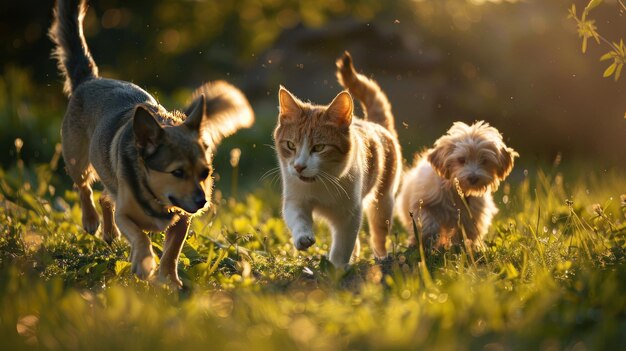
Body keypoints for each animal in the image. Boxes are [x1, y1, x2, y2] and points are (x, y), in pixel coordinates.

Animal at [49, 0, 254, 288]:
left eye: (205, 173)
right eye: (177, 172)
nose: (202, 202)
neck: (157, 197)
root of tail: (90, 79)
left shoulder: (182, 221)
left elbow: (172, 251)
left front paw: (169, 279)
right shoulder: (126, 215)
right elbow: (141, 236)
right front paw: (145, 264)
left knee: (104, 196)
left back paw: (109, 232)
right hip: (76, 157)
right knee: (84, 187)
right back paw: (91, 220)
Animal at [272, 51, 400, 266]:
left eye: (319, 147)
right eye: (290, 145)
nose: (299, 166)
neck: (321, 182)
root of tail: (374, 124)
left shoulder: (350, 214)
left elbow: (343, 245)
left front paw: (337, 268)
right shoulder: (295, 198)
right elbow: (298, 218)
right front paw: (302, 237)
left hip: (383, 202)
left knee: (378, 234)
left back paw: (382, 258)